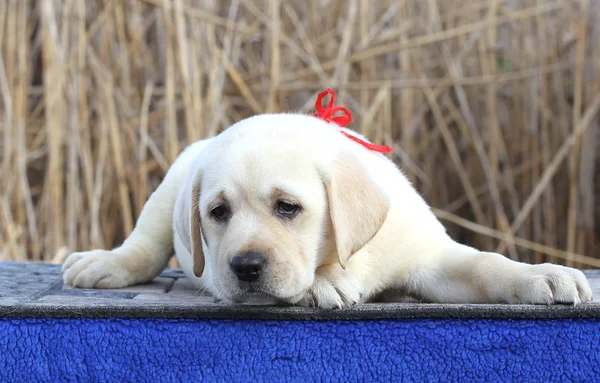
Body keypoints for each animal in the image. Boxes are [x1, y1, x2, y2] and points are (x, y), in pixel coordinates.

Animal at [62, 102, 592, 308]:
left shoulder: (429, 255)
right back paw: (102, 263)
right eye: (218, 213)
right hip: (169, 188)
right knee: (144, 246)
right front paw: (324, 282)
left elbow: (486, 263)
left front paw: (542, 275)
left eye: (287, 207)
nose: (245, 267)